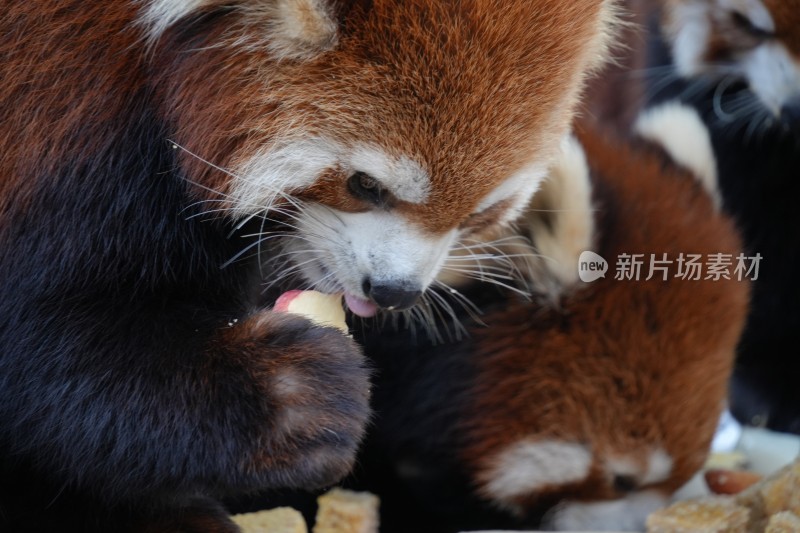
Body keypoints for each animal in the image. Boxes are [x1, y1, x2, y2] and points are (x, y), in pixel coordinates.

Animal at [0, 1, 620, 532]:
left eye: (478, 212)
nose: (394, 290)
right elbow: (51, 351)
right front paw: (291, 396)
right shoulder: (75, 127)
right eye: (365, 185)